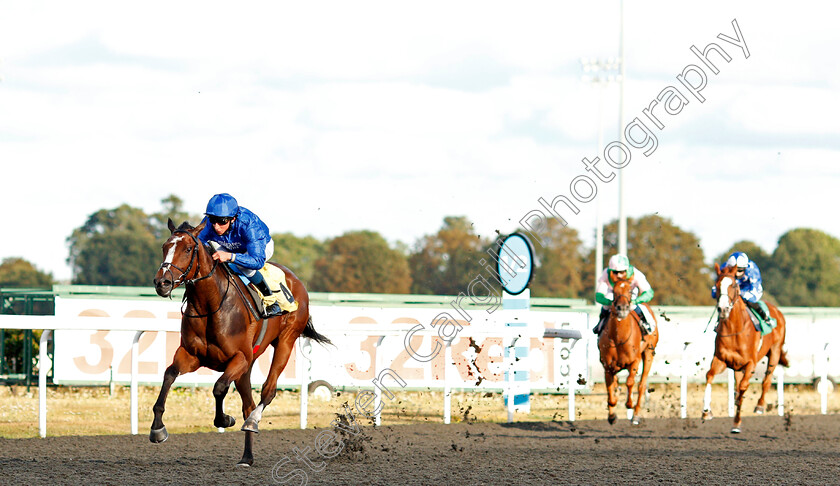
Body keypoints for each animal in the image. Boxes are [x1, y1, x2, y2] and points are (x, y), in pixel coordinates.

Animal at [149, 218, 330, 466]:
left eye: (187, 249)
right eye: (164, 247)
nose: (162, 282)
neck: (211, 304)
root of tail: (296, 281)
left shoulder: (239, 358)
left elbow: (219, 388)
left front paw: (224, 419)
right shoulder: (191, 355)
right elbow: (169, 375)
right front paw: (157, 429)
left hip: (286, 341)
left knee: (267, 392)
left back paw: (253, 422)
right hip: (248, 365)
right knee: (248, 404)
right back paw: (247, 456)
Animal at [600, 278, 660, 426]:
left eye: (630, 291)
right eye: (614, 291)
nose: (622, 308)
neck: (619, 338)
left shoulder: (634, 361)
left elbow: (629, 382)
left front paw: (629, 404)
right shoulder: (607, 366)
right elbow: (610, 388)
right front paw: (612, 415)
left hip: (649, 353)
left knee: (641, 385)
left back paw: (636, 415)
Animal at [704, 262, 788, 432]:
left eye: (733, 285)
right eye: (717, 285)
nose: (723, 309)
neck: (734, 330)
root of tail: (777, 310)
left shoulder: (751, 363)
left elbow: (743, 388)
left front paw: (736, 423)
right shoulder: (721, 360)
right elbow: (710, 376)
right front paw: (706, 412)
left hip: (775, 352)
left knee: (766, 380)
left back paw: (760, 406)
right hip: (737, 367)